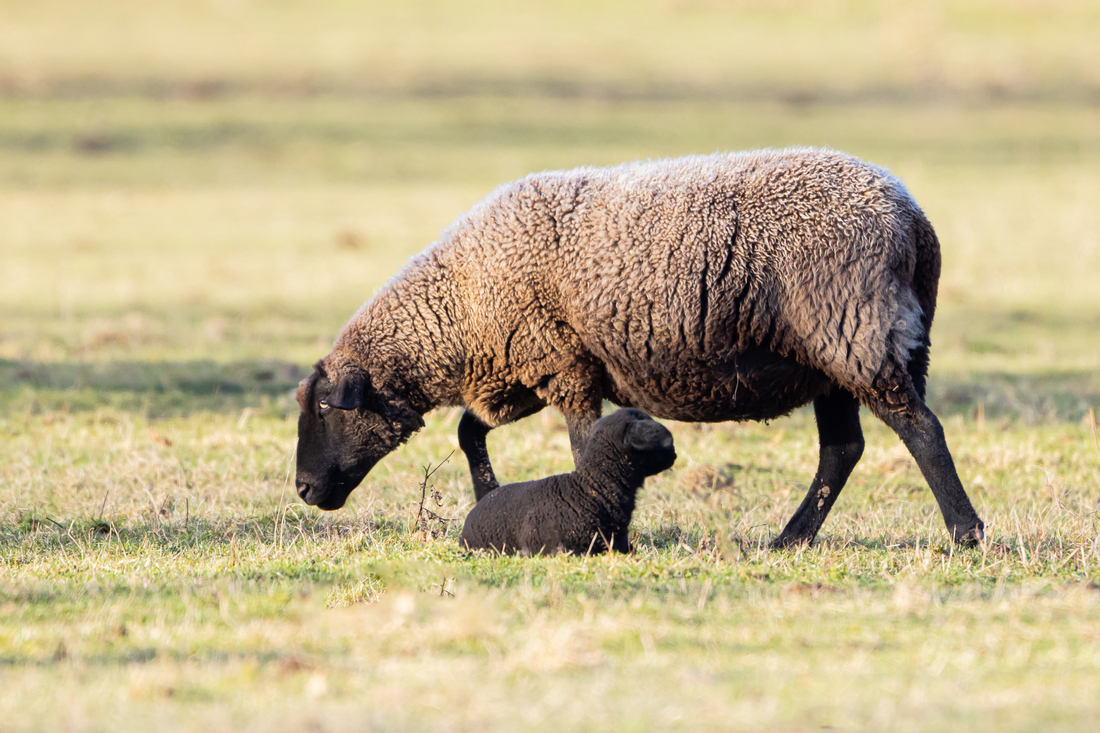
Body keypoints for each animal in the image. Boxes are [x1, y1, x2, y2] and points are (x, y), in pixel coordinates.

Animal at [294, 145, 990, 545]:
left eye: (328, 408)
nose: (302, 490)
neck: (460, 303)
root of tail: (912, 219)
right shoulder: (524, 373)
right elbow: (469, 432)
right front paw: (489, 495)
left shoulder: (564, 370)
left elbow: (581, 446)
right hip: (835, 358)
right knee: (843, 450)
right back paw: (790, 540)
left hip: (856, 334)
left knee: (920, 429)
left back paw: (965, 532)